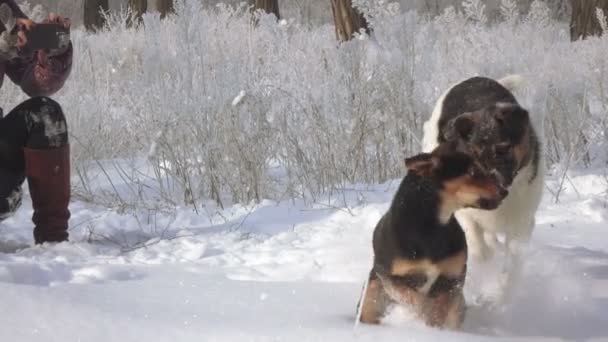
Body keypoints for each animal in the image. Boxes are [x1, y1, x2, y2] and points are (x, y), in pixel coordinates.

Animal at [358, 142, 506, 328]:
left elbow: (439, 307)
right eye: (472, 171)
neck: (432, 227)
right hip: (371, 298)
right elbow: (411, 296)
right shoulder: (388, 275)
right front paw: (422, 315)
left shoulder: (452, 277)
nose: (504, 191)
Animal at [420, 75, 544, 276]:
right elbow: (477, 244)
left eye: (503, 149)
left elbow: (511, 265)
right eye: (473, 154)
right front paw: (484, 260)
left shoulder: (522, 222)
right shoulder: (464, 210)